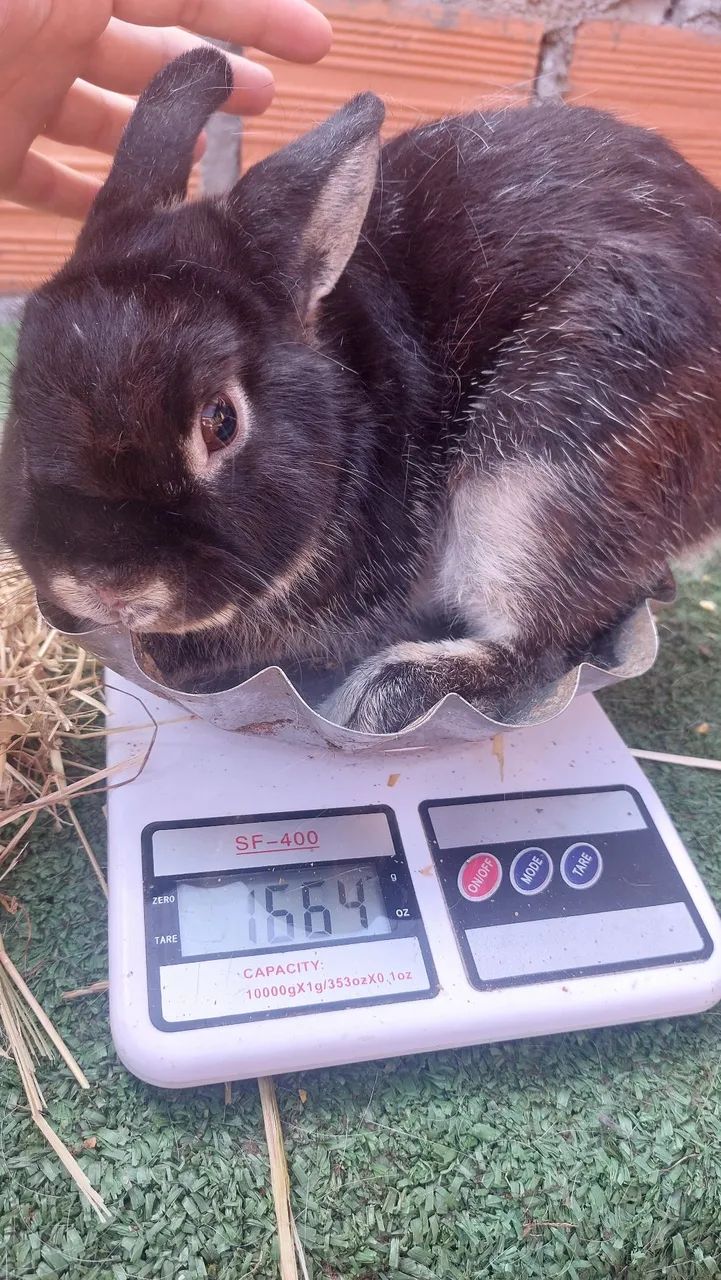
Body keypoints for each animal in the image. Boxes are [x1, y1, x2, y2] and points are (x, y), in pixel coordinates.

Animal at [2, 45, 720, 734]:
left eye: (221, 421)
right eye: (22, 400)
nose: (109, 588)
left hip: (534, 471)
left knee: (539, 641)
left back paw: (386, 694)